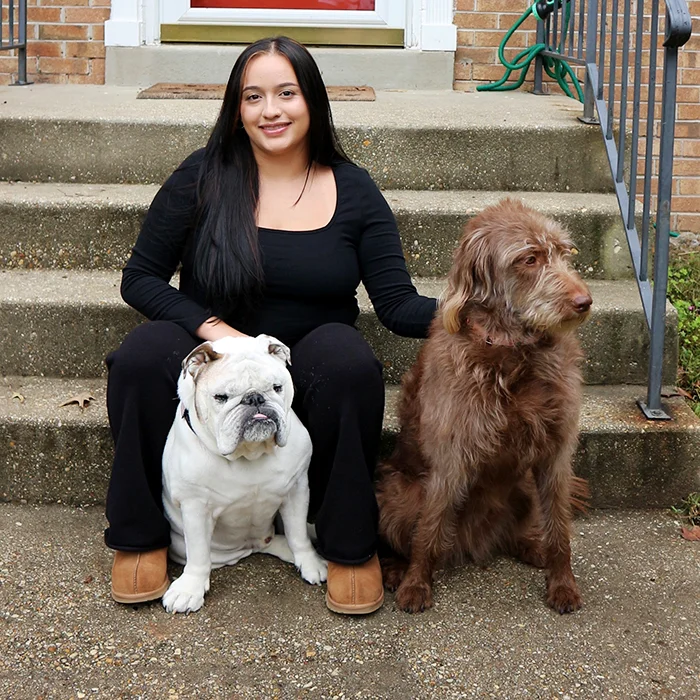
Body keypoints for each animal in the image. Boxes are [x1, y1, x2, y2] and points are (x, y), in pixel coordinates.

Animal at [378, 197, 592, 612]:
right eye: (529, 258)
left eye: (565, 253)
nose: (584, 302)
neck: (514, 353)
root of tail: (472, 542)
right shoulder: (451, 455)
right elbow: (428, 529)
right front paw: (416, 583)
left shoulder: (556, 452)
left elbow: (559, 528)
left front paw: (562, 583)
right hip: (397, 495)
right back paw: (397, 569)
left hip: (523, 486)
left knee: (519, 530)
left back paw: (531, 546)